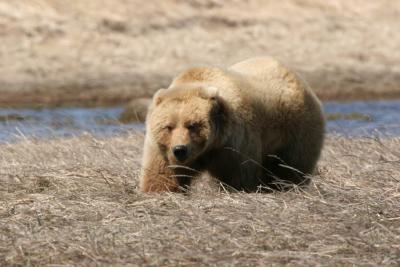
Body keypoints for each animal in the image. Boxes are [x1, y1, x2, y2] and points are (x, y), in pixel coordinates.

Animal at [139, 57, 324, 193]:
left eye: (192, 125)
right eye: (168, 127)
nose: (180, 150)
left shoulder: (235, 142)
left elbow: (238, 176)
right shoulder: (161, 150)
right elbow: (162, 177)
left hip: (296, 130)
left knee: (290, 167)